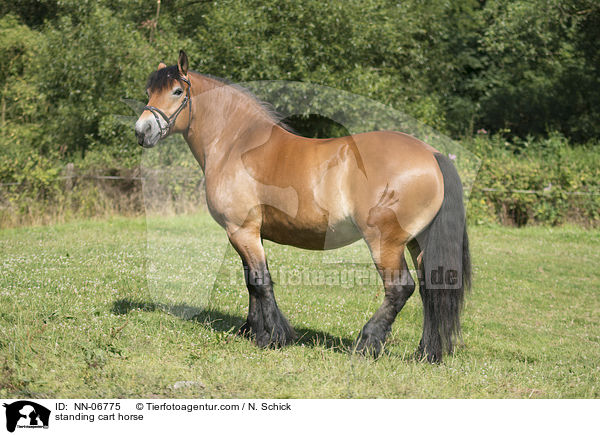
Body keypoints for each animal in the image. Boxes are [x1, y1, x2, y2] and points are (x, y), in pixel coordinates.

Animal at [134, 51, 472, 362]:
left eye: (177, 91)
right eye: (149, 91)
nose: (141, 131)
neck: (236, 144)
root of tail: (431, 154)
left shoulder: (242, 230)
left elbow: (261, 282)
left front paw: (273, 337)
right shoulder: (244, 233)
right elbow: (251, 282)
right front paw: (252, 331)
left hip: (385, 242)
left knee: (400, 288)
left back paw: (366, 344)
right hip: (418, 242)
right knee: (431, 289)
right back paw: (427, 353)